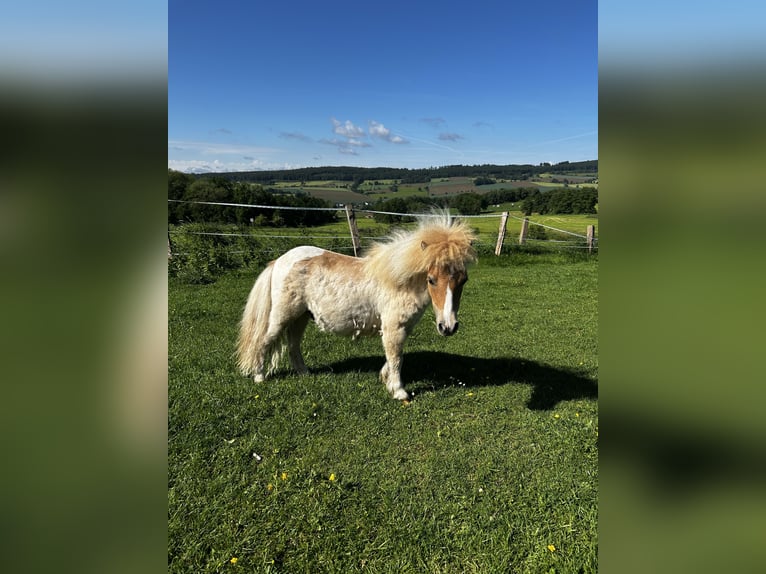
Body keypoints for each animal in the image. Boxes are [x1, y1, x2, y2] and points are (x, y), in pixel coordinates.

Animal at [236, 211, 477, 400]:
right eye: (431, 280)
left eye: (463, 280)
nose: (448, 327)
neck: (399, 281)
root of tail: (279, 261)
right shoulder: (394, 328)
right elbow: (396, 357)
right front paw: (399, 391)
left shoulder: (400, 328)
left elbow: (393, 356)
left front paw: (385, 379)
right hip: (281, 317)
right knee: (263, 342)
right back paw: (259, 377)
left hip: (301, 317)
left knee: (293, 346)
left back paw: (305, 374)